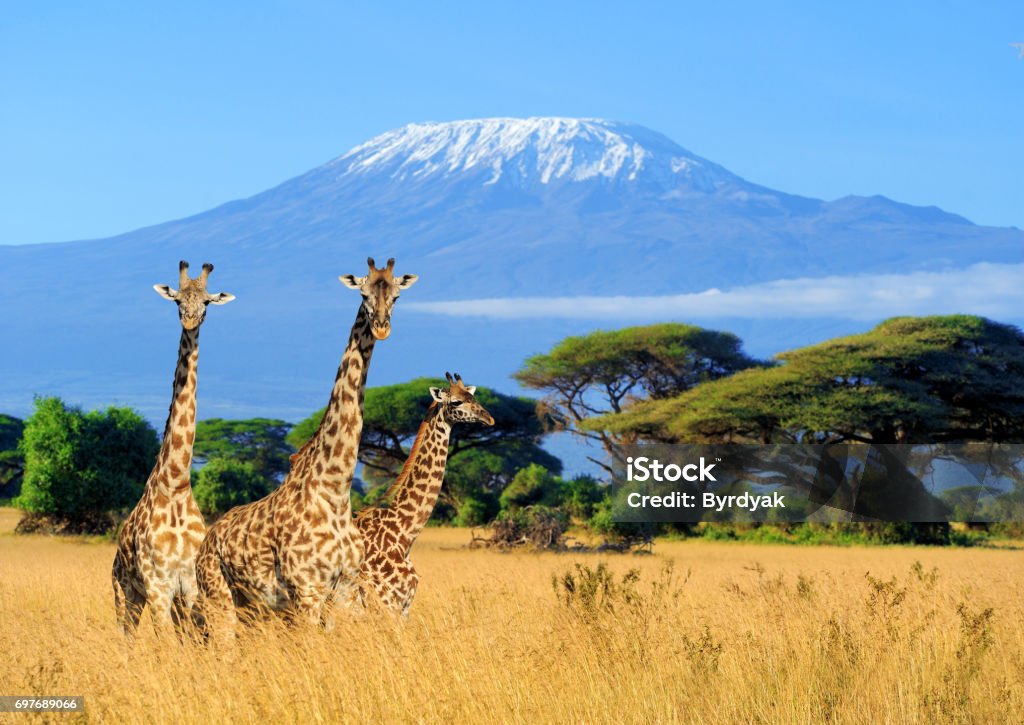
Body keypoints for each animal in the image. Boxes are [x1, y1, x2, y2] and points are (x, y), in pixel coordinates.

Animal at [112, 259, 235, 634]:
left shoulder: (190, 586)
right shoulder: (158, 586)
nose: (190, 320)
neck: (177, 484)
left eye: (207, 301)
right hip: (125, 592)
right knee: (125, 635)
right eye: (178, 300)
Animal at [193, 258, 417, 638]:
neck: (335, 490)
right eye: (363, 293)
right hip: (218, 595)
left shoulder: (343, 590)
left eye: (397, 296)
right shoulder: (307, 591)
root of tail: (205, 543)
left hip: (251, 606)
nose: (382, 327)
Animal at [354, 374, 493, 618]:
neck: (404, 533)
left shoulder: (403, 606)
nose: (490, 419)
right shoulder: (387, 603)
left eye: (473, 396)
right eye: (456, 401)